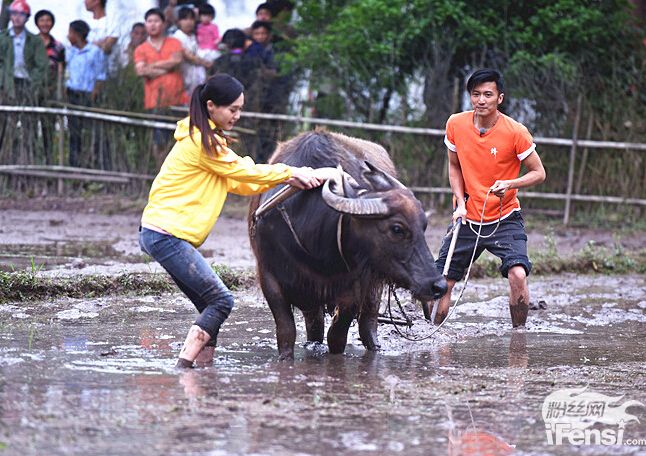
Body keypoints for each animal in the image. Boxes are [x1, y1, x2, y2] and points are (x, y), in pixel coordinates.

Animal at [251, 130, 448, 358]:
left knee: (368, 322)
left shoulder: (356, 286)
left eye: (424, 226)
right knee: (315, 326)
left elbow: (337, 336)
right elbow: (286, 332)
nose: (439, 285)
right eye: (397, 229)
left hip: (376, 283)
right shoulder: (269, 278)